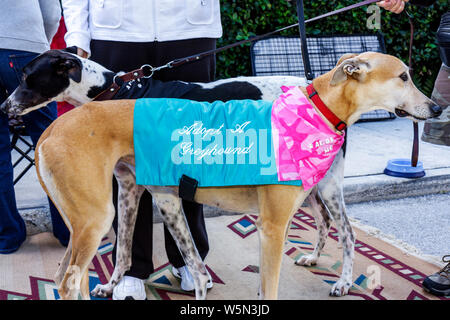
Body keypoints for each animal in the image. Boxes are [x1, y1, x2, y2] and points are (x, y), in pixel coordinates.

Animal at [0, 50, 442, 300]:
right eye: (403, 76)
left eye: (27, 78)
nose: (4, 109)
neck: (118, 91)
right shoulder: (140, 193)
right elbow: (133, 250)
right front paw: (113, 285)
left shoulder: (161, 197)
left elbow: (191, 260)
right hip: (95, 217)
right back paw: (317, 259)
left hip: (328, 187)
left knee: (346, 233)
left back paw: (342, 281)